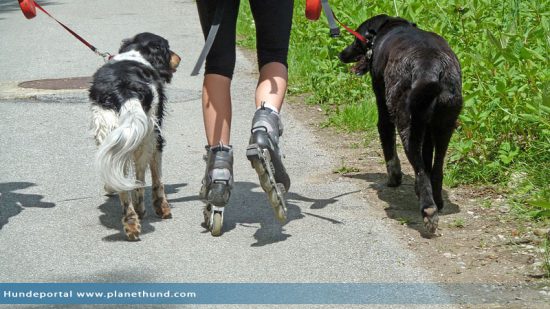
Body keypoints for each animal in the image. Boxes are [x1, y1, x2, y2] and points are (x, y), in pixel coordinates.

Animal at [89, 32, 181, 239]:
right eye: (167, 48)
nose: (179, 58)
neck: (136, 53)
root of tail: (124, 90)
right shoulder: (157, 138)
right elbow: (157, 179)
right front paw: (162, 207)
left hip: (109, 133)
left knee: (121, 182)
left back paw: (131, 223)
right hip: (147, 138)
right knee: (139, 179)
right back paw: (139, 212)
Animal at [340, 14, 466, 231]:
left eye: (356, 40)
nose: (341, 54)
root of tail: (430, 66)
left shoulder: (383, 108)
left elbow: (388, 145)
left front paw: (394, 178)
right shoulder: (428, 129)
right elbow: (427, 157)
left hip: (406, 124)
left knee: (420, 169)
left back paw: (428, 209)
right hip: (445, 125)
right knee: (436, 167)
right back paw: (437, 200)